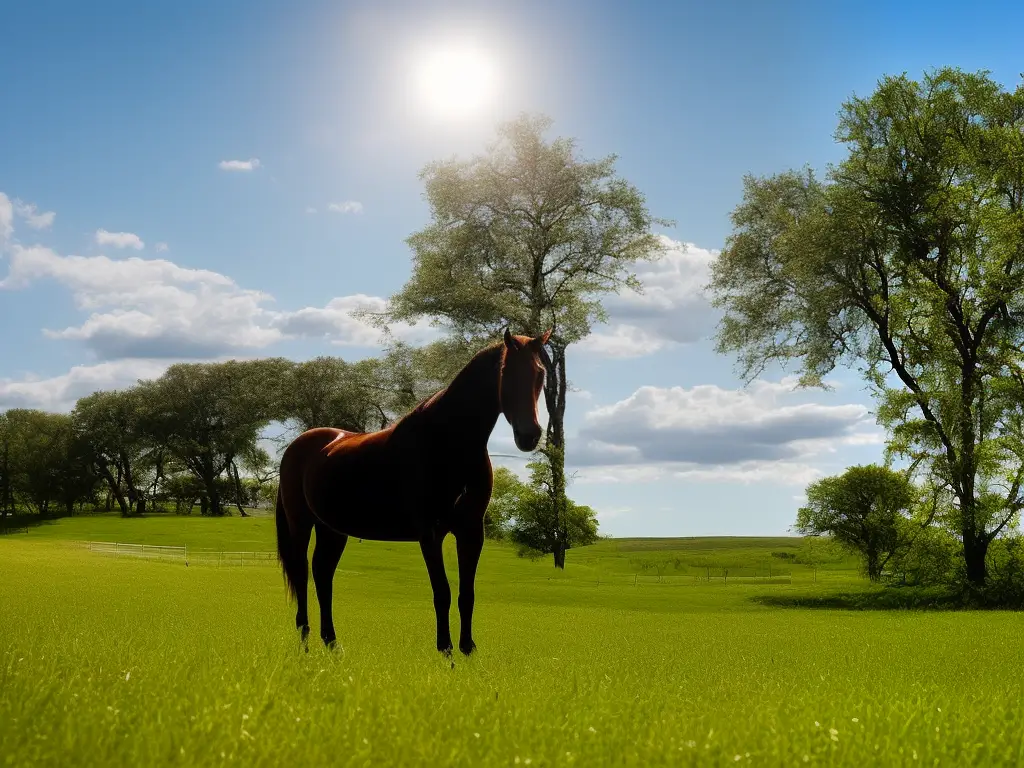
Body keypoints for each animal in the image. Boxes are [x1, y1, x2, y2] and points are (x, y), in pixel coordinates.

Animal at [274, 327, 552, 659]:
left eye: (540, 373)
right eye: (506, 372)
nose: (529, 435)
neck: (447, 443)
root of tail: (301, 444)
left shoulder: (472, 532)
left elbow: (467, 594)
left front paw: (468, 650)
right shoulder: (430, 533)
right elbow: (442, 593)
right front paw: (446, 652)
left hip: (332, 530)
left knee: (323, 575)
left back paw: (332, 643)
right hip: (301, 524)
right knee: (302, 574)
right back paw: (304, 641)